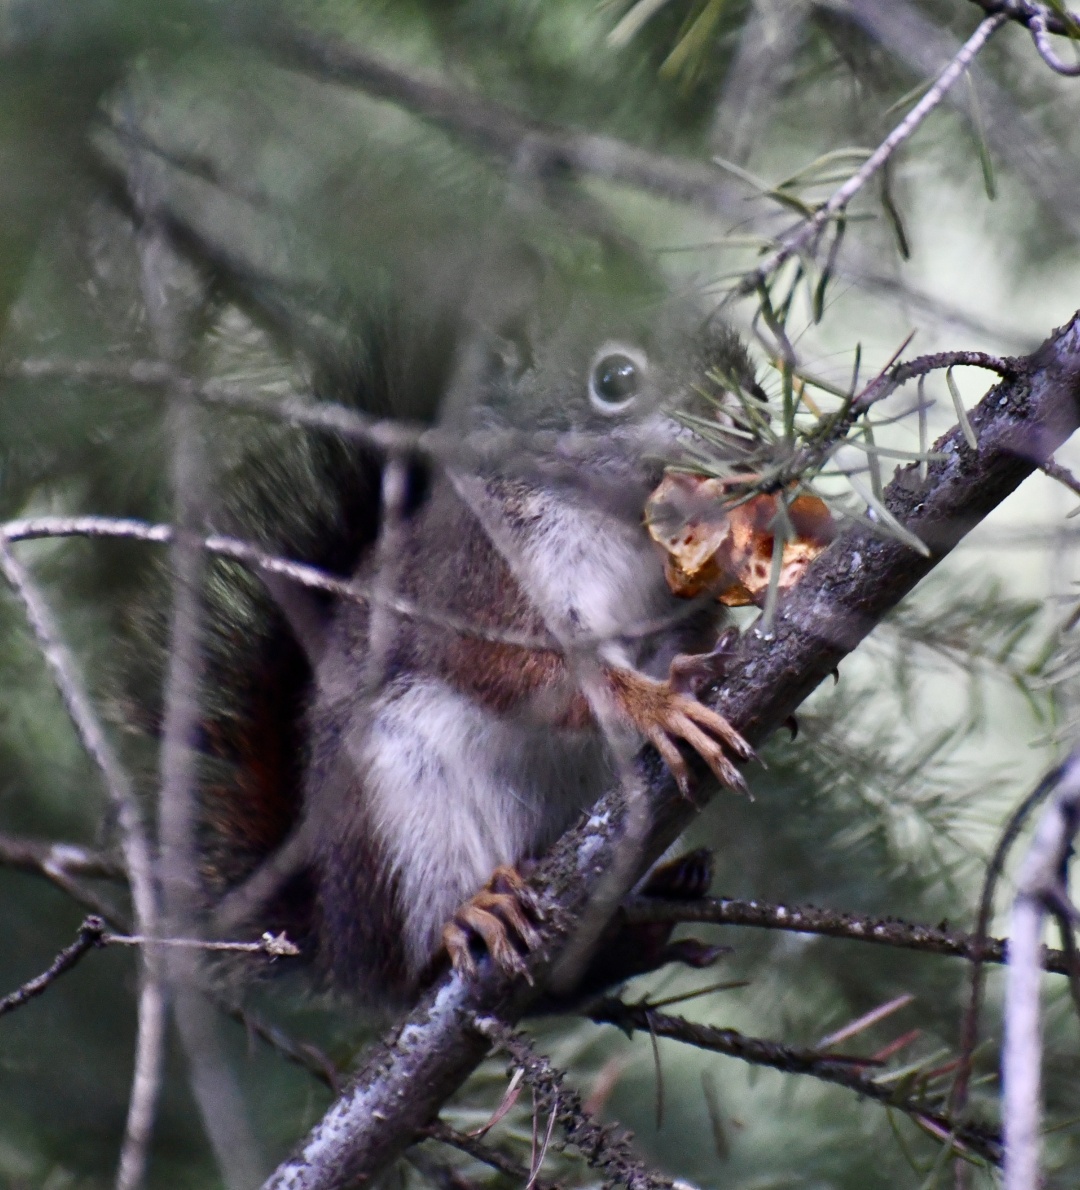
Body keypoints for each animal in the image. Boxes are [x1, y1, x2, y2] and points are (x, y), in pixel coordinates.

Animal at [160, 239, 762, 1011]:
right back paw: (470, 917)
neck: (619, 524)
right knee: (417, 955)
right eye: (615, 378)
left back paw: (649, 919)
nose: (750, 418)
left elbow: (676, 640)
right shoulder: (484, 582)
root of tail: (335, 939)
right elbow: (527, 673)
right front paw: (654, 706)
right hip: (399, 811)